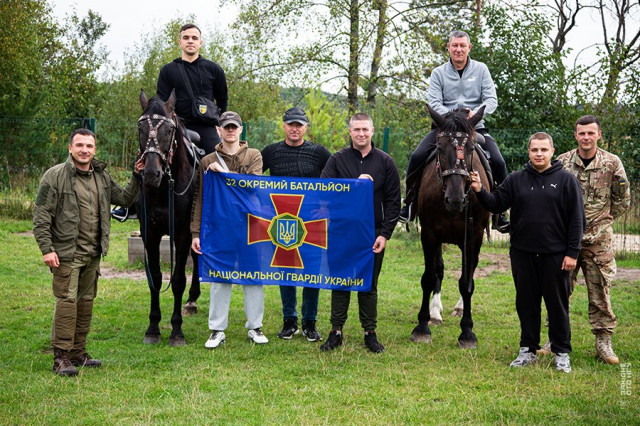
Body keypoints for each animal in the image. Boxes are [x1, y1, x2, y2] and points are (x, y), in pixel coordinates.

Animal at [410, 105, 491, 349]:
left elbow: (466, 282)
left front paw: (467, 332)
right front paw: (422, 327)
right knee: (439, 269)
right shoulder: (429, 234)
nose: (455, 200)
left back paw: (459, 307)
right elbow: (429, 276)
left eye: (472, 148)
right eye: (439, 147)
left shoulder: (473, 237)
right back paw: (435, 313)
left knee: (469, 273)